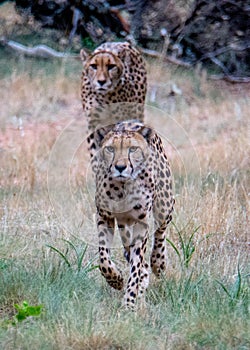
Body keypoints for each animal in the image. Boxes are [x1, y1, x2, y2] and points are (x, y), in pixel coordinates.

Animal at [79, 41, 146, 170]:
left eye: (111, 66)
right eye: (94, 66)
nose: (101, 81)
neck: (104, 97)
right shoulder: (93, 125)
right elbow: (96, 155)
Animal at [92, 121, 174, 308]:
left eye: (133, 149)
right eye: (110, 149)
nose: (120, 167)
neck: (122, 186)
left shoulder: (141, 222)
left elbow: (136, 266)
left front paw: (129, 302)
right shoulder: (104, 217)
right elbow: (103, 258)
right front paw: (115, 280)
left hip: (165, 204)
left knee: (161, 231)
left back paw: (158, 263)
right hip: (123, 224)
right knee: (129, 250)